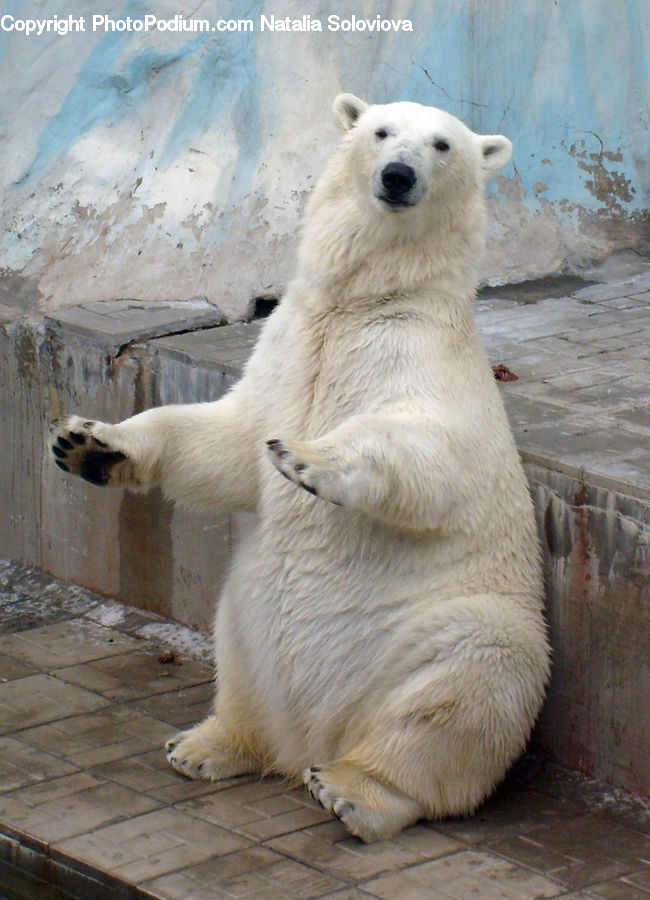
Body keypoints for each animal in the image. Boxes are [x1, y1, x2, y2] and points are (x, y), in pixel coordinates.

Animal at [50, 94, 550, 843]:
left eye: (442, 145)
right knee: (239, 655)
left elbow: (430, 458)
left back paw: (353, 791)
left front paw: (308, 458)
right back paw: (206, 745)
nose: (397, 175)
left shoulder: (423, 362)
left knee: (468, 684)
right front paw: (88, 444)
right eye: (379, 131)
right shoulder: (289, 343)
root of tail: (319, 735)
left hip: (443, 630)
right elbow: (227, 438)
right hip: (249, 621)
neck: (362, 304)